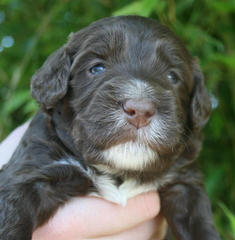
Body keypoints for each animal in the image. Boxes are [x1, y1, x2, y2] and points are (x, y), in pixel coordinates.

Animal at [0, 15, 220, 239]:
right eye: (97, 68)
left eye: (172, 77)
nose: (140, 110)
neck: (119, 170)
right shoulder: (29, 174)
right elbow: (9, 222)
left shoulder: (184, 184)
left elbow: (201, 227)